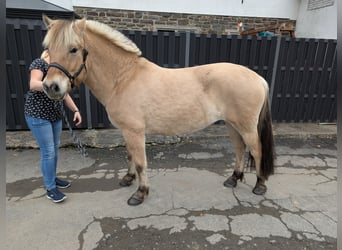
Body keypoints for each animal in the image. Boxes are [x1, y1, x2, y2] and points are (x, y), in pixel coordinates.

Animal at [41, 15, 276, 206]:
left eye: (73, 49)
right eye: (48, 50)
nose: (51, 87)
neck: (124, 78)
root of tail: (258, 78)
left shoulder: (135, 132)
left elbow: (141, 163)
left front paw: (140, 193)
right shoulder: (127, 131)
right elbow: (130, 156)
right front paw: (128, 179)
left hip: (246, 127)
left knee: (256, 150)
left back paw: (260, 185)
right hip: (231, 125)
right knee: (240, 149)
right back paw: (233, 179)